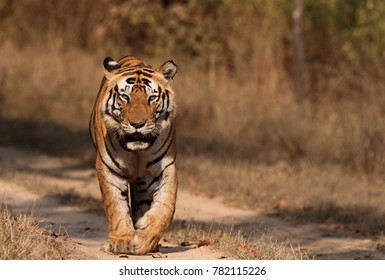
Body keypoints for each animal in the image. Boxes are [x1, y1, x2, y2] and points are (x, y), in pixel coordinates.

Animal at [90, 55, 178, 255]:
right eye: (125, 96)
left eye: (152, 98)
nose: (137, 124)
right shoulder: (109, 168)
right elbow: (115, 206)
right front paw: (121, 241)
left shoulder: (164, 168)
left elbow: (166, 206)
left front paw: (145, 240)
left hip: (142, 183)